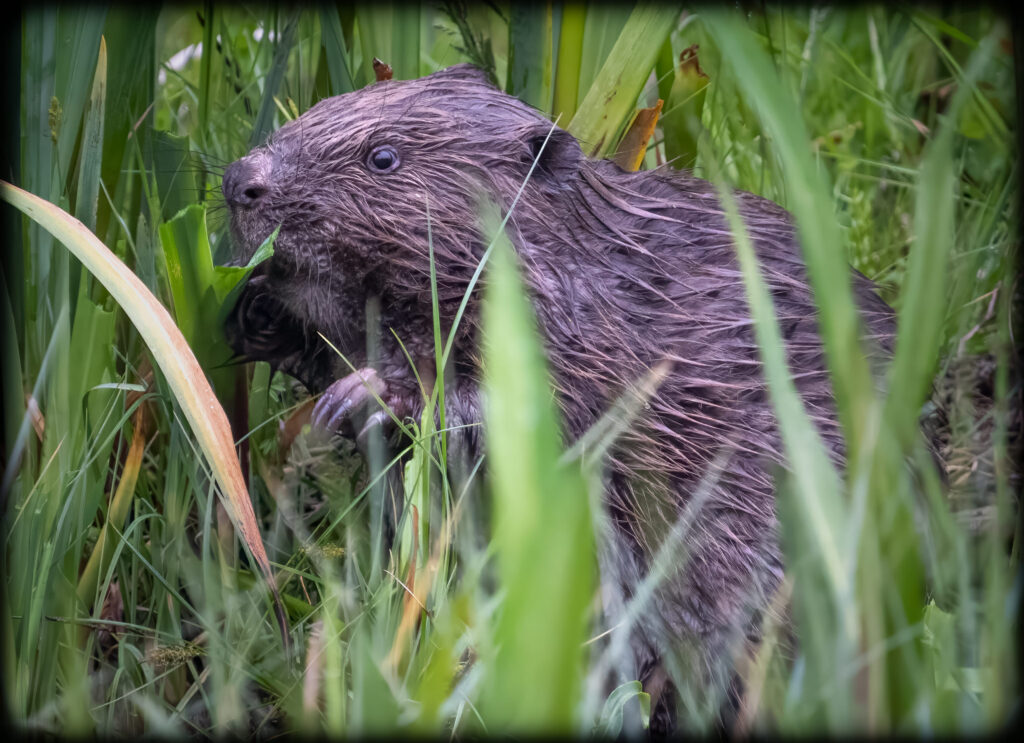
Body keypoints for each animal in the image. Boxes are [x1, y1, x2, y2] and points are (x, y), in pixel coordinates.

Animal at [222, 62, 897, 732]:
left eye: (382, 157)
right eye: (320, 107)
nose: (239, 181)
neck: (593, 265)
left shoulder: (593, 348)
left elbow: (511, 421)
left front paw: (360, 392)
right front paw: (253, 307)